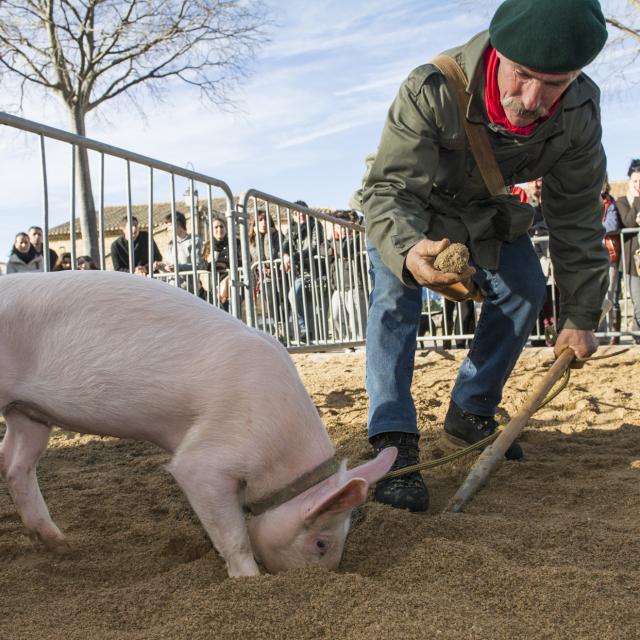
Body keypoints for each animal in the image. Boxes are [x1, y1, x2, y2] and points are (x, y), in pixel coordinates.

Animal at [0, 270, 396, 576]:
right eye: (321, 542)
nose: (321, 578)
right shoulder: (205, 459)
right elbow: (232, 533)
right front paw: (250, 581)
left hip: (31, 414)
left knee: (16, 466)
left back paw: (61, 545)